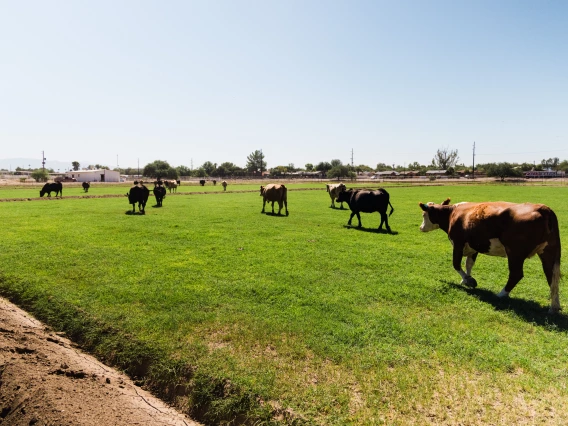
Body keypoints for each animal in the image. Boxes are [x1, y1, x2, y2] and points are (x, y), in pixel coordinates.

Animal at [420, 199, 560, 312]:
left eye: (424, 215)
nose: (421, 227)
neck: (452, 213)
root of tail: (543, 208)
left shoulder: (458, 244)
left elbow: (456, 264)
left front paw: (469, 280)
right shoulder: (474, 247)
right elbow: (469, 264)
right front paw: (466, 279)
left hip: (515, 253)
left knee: (516, 274)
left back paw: (501, 294)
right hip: (549, 252)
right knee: (552, 276)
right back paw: (555, 306)